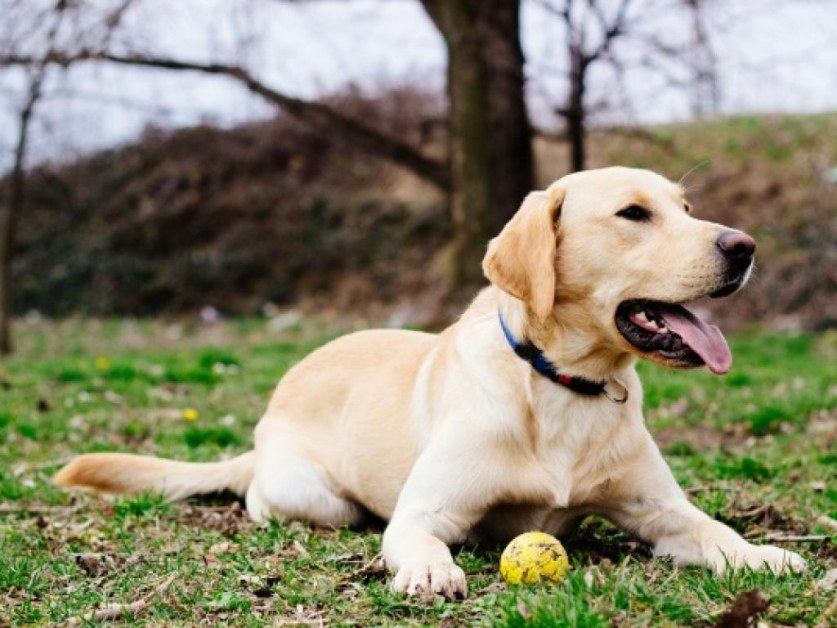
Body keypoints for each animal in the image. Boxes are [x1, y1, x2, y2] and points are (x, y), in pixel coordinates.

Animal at [57, 167, 804, 600]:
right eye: (633, 214)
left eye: (687, 207)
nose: (744, 247)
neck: (564, 385)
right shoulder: (427, 511)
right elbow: (419, 536)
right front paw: (430, 570)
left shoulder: (661, 511)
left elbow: (712, 530)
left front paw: (761, 554)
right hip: (314, 497)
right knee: (274, 502)